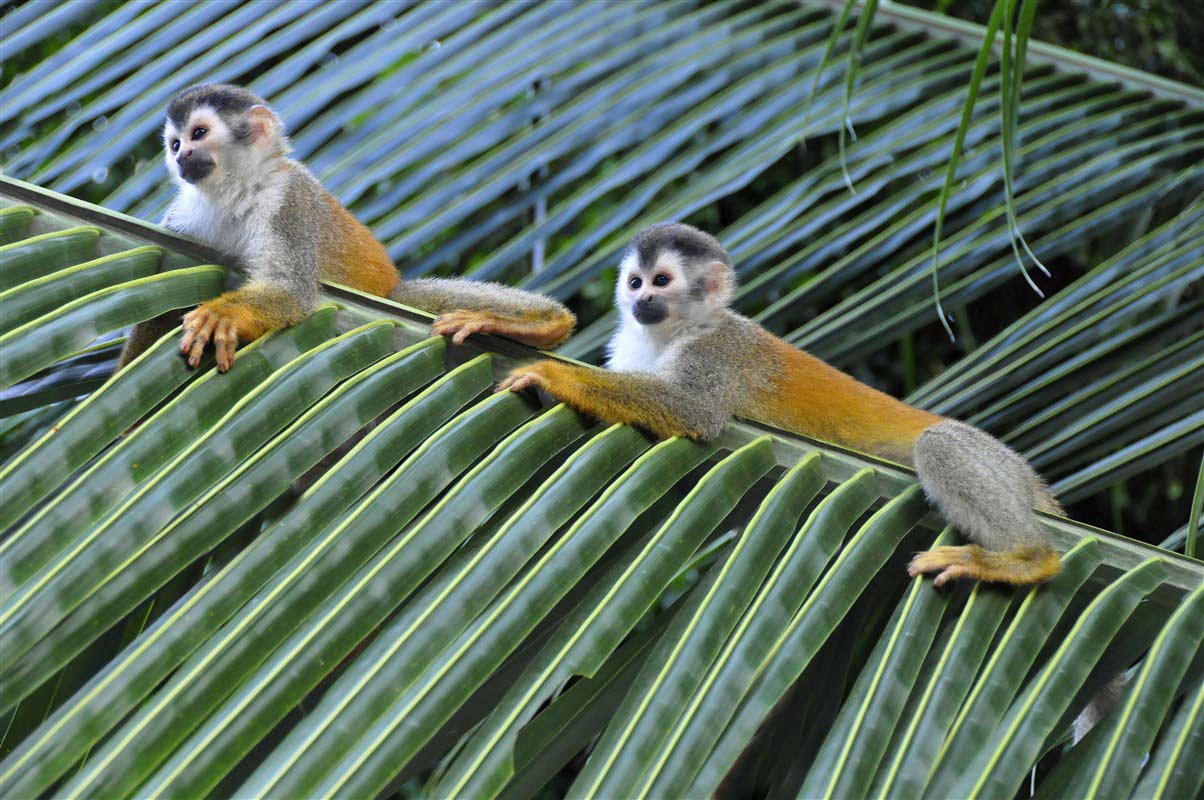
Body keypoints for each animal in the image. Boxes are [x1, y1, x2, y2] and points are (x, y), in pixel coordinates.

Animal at [122, 84, 573, 371]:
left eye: (199, 134)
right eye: (175, 144)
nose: (182, 157)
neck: (236, 189)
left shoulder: (291, 201)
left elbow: (292, 290)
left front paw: (223, 313)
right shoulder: (183, 218)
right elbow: (167, 290)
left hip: (395, 299)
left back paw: (543, 324)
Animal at [500, 225, 1064, 587]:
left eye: (661, 282)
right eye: (635, 283)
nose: (640, 300)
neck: (680, 330)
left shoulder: (719, 351)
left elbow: (693, 411)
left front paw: (557, 375)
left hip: (1002, 468)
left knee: (942, 442)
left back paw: (1027, 559)